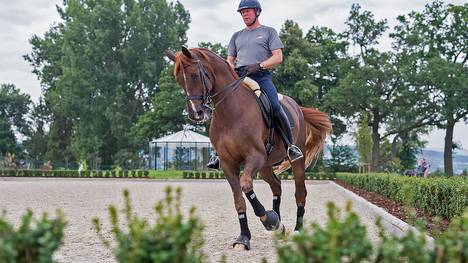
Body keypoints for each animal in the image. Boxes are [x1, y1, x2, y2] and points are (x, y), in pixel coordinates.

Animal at [166, 47, 330, 252]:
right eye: (179, 80)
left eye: (195, 75)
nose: (196, 113)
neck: (231, 112)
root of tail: (297, 107)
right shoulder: (228, 164)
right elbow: (239, 199)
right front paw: (245, 237)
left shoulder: (254, 157)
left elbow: (245, 186)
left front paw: (268, 220)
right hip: (265, 166)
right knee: (276, 186)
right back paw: (279, 225)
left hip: (295, 161)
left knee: (300, 192)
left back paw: (296, 229)